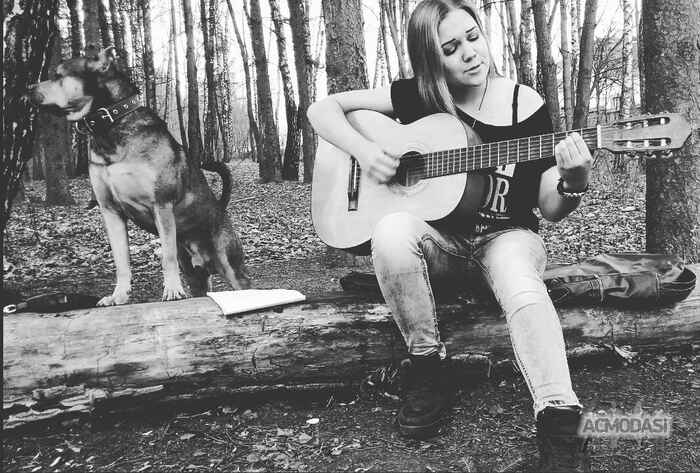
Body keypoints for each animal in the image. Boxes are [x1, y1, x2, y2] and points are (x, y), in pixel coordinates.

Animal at [27, 47, 251, 305]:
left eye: (58, 75)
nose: (28, 88)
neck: (110, 127)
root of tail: (220, 208)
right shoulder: (111, 211)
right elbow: (121, 261)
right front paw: (118, 295)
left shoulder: (161, 205)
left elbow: (167, 255)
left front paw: (172, 290)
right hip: (196, 277)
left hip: (231, 265)